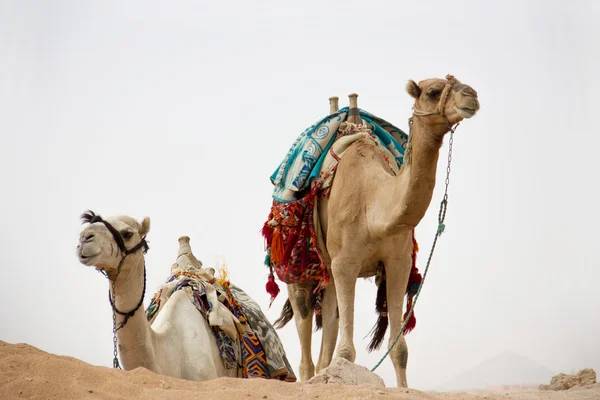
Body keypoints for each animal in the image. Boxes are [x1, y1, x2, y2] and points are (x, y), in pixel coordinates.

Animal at [276, 75, 478, 388]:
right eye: (433, 92)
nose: (472, 96)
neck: (373, 208)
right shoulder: (346, 263)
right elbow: (347, 352)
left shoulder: (398, 262)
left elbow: (399, 349)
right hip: (298, 265)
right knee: (304, 319)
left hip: (329, 270)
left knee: (329, 325)